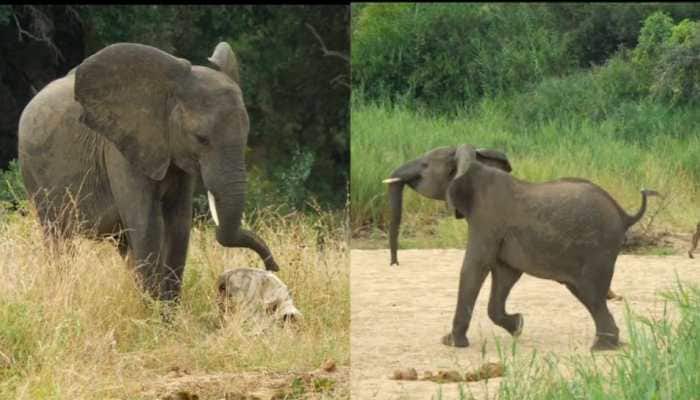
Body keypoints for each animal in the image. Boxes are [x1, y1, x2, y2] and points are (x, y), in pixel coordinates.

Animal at [18, 42, 280, 303]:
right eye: (201, 139)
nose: (272, 268)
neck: (166, 91)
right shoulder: (120, 150)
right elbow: (146, 226)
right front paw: (153, 311)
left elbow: (178, 224)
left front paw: (167, 312)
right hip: (34, 175)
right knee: (58, 238)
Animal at [384, 144, 659, 351]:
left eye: (424, 166)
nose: (394, 263)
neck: (472, 167)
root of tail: (624, 214)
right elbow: (506, 273)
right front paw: (518, 326)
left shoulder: (487, 218)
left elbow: (475, 266)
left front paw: (452, 343)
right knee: (588, 295)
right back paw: (608, 345)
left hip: (597, 250)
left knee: (590, 293)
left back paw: (601, 348)